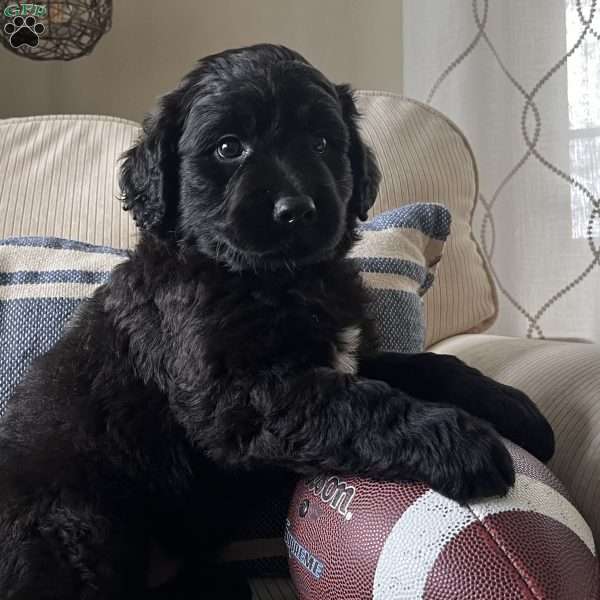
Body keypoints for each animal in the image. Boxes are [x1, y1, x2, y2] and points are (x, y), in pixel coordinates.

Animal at [0, 44, 552, 596]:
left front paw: (512, 406)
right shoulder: (238, 394)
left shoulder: (345, 356)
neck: (280, 280)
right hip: (75, 524)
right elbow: (358, 401)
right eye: (228, 148)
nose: (296, 210)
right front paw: (457, 440)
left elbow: (425, 367)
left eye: (322, 142)